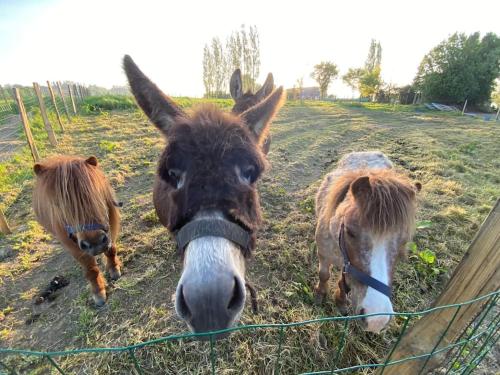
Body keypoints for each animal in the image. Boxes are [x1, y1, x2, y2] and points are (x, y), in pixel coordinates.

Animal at [33, 155, 121, 306]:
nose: (95, 243)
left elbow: (111, 249)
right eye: (58, 205)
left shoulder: (108, 227)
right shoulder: (73, 245)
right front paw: (98, 292)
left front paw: (114, 268)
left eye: (95, 193)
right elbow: (90, 268)